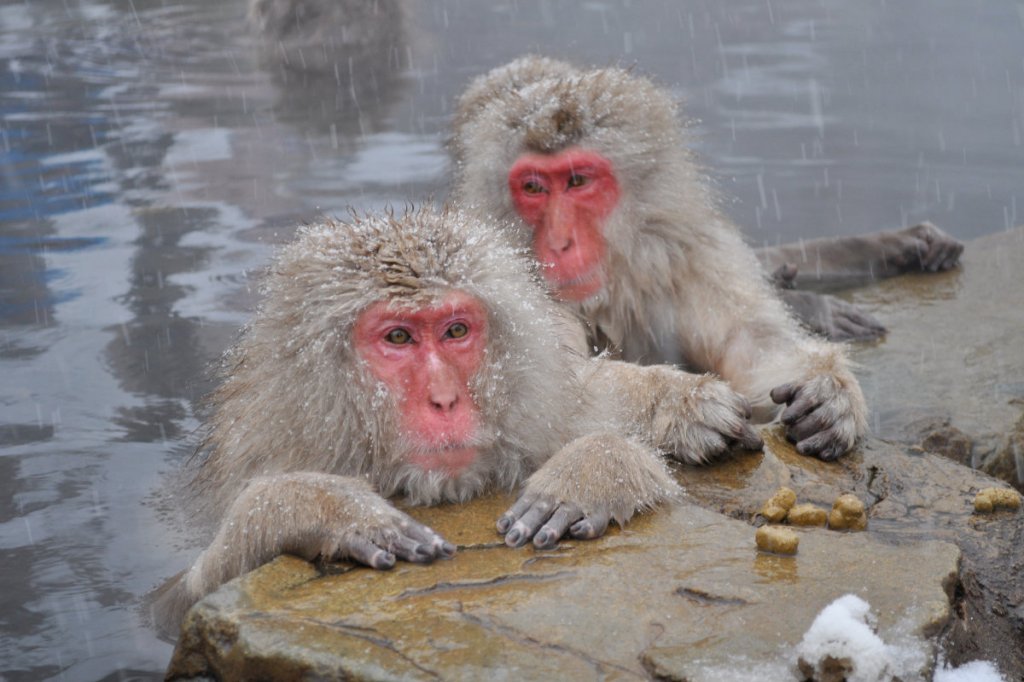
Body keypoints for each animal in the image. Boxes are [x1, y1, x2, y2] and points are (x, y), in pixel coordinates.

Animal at [152, 206, 762, 632]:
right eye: (399, 337)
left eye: (456, 331)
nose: (444, 399)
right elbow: (174, 601)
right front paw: (322, 508)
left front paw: (605, 460)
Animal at [450, 56, 876, 461]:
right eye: (534, 188)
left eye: (577, 181)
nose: (559, 242)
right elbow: (544, 391)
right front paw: (678, 403)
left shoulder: (690, 254)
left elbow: (752, 341)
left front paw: (829, 390)